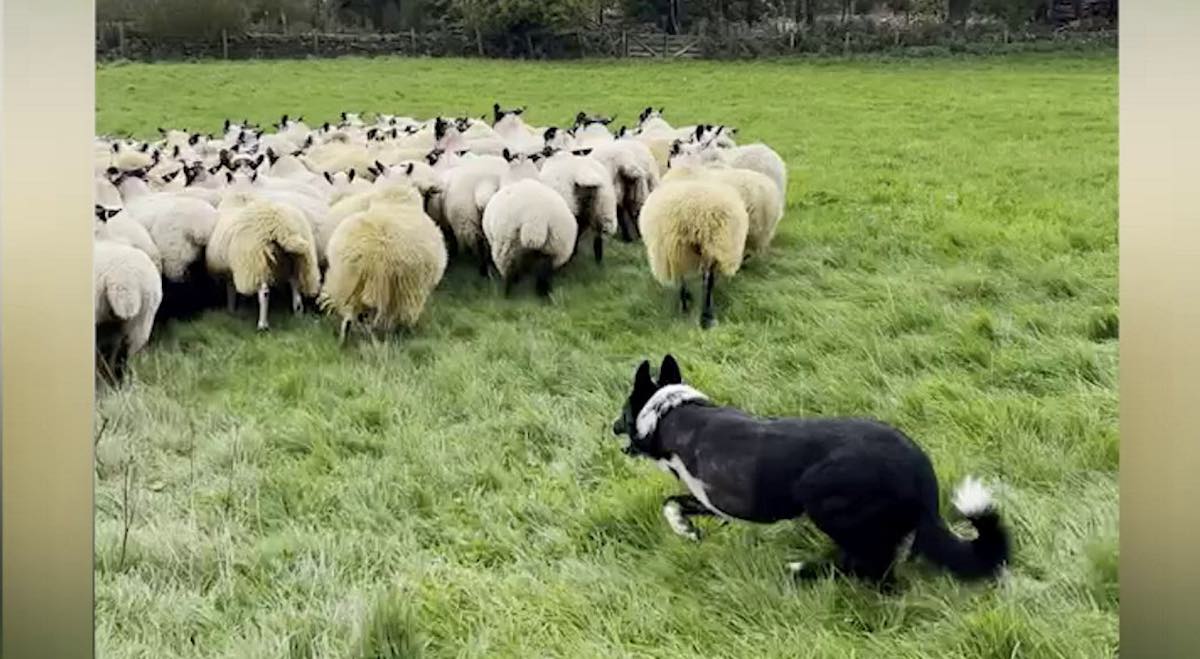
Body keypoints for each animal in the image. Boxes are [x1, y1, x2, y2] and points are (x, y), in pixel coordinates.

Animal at [321, 180, 448, 343]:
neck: (396, 200)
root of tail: (364, 257)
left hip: (344, 282)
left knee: (351, 314)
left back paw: (346, 338)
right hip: (388, 287)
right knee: (375, 317)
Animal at [480, 150, 578, 296]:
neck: (520, 176)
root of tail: (536, 219)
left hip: (506, 247)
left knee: (509, 271)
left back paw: (507, 295)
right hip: (554, 246)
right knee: (544, 271)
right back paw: (543, 294)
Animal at [609, 355, 1012, 585]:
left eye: (624, 412)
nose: (612, 427)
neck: (672, 415)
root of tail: (924, 480)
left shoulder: (727, 500)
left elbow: (669, 501)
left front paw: (683, 529)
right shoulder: (710, 502)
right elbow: (673, 502)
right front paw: (685, 528)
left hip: (821, 497)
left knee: (869, 567)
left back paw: (805, 572)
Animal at [643, 177, 744, 328]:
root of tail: (700, 217)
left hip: (681, 250)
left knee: (687, 279)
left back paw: (690, 309)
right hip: (712, 247)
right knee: (708, 280)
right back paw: (707, 315)